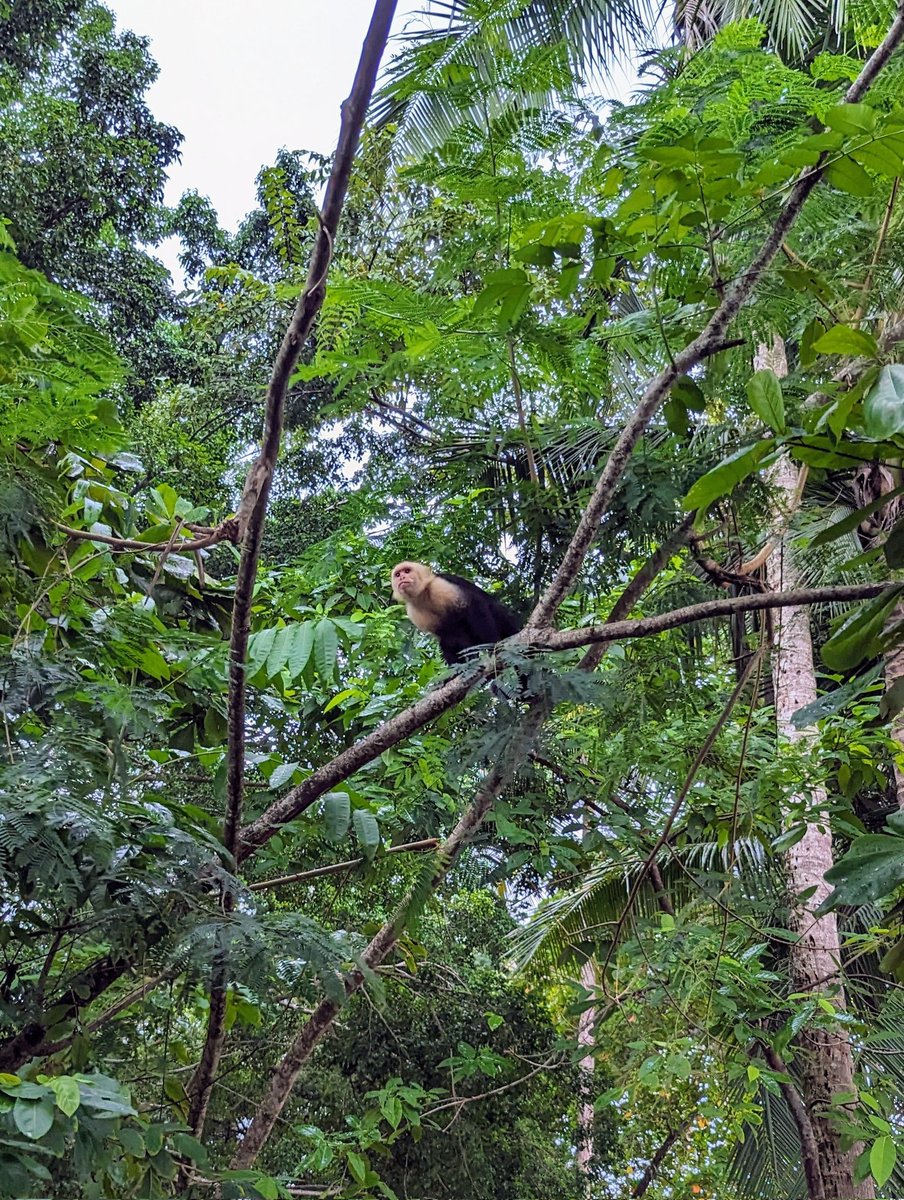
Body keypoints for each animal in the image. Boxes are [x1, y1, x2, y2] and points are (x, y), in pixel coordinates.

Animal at [388, 561, 521, 667]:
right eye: (397, 574)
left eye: (407, 571)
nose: (402, 577)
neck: (422, 594)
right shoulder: (413, 612)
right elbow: (448, 633)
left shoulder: (438, 586)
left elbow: (473, 603)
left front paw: (492, 645)